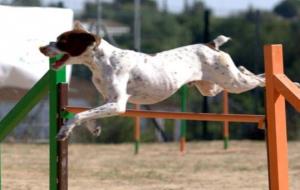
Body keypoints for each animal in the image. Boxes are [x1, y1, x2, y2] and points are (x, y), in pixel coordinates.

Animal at [39, 22, 264, 141]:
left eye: (63, 41)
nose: (41, 48)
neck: (101, 62)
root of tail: (211, 45)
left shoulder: (117, 104)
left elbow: (78, 115)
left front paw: (64, 131)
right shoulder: (107, 100)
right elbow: (86, 114)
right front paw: (94, 128)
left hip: (234, 83)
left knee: (253, 78)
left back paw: (264, 79)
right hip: (210, 87)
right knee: (237, 77)